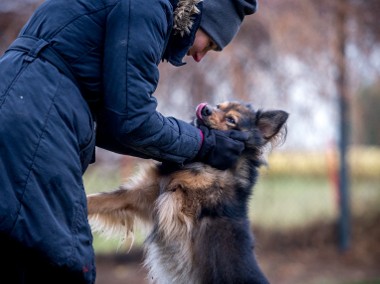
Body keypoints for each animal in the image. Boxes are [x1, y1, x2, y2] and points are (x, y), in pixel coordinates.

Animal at [87, 101, 288, 282]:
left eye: (231, 119)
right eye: (219, 106)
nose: (205, 108)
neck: (209, 164)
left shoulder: (182, 206)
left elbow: (177, 195)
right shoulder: (140, 194)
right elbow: (99, 200)